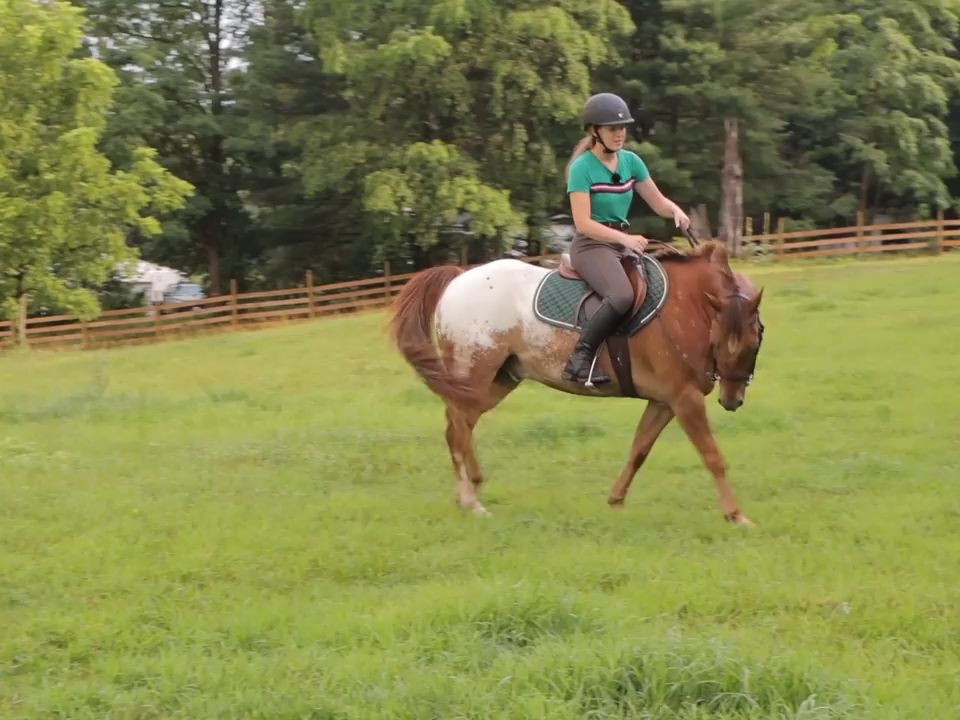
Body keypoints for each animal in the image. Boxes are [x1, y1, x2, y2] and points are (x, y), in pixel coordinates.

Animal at [388, 239, 764, 524]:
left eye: (755, 337)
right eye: (725, 341)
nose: (732, 400)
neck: (687, 305)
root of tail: (458, 278)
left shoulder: (664, 400)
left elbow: (639, 450)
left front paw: (615, 500)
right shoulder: (685, 398)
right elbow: (712, 455)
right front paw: (736, 515)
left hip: (499, 379)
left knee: (459, 424)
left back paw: (468, 495)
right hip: (475, 370)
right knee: (457, 427)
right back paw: (472, 498)